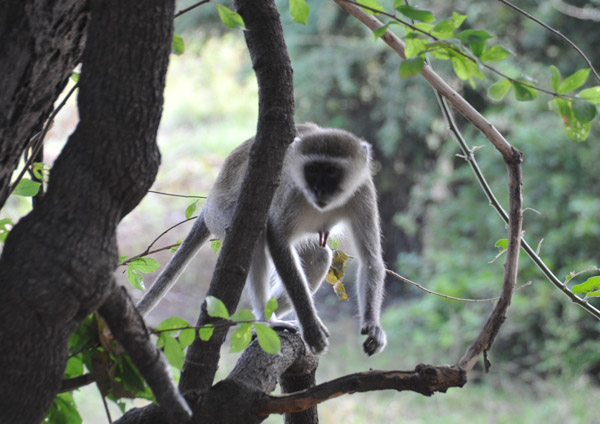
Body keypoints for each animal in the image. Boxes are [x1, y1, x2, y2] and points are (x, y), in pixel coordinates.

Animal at [138, 124, 386, 356]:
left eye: (332, 171)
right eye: (313, 169)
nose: (319, 189)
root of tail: (208, 204)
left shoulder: (363, 191)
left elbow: (370, 259)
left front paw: (373, 325)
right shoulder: (291, 192)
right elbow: (278, 243)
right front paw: (311, 328)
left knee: (318, 257)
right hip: (222, 213)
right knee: (255, 238)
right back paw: (265, 320)